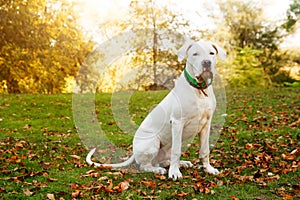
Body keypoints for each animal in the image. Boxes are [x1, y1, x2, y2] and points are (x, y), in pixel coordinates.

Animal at [86, 39, 225, 180]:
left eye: (211, 53)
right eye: (195, 54)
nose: (206, 62)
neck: (199, 89)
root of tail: (134, 151)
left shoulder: (206, 124)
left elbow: (205, 150)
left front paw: (208, 169)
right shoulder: (177, 122)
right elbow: (176, 151)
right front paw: (174, 173)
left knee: (164, 160)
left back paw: (181, 163)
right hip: (153, 142)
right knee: (145, 166)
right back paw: (158, 169)